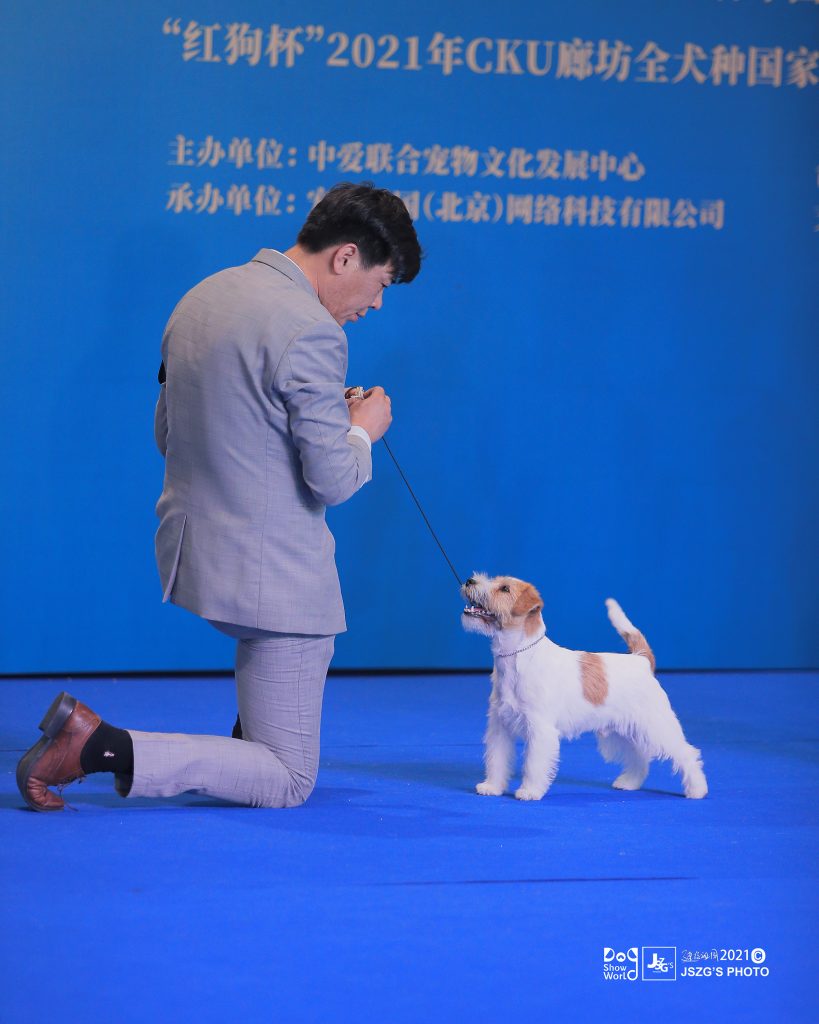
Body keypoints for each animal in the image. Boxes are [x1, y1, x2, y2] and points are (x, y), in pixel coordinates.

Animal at [461, 573, 708, 801]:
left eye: (504, 588)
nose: (470, 580)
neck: (518, 655)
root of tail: (641, 660)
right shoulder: (500, 726)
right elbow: (497, 759)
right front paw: (492, 786)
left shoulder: (540, 729)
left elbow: (533, 763)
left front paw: (529, 791)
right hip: (619, 732)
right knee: (639, 756)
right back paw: (630, 782)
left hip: (657, 726)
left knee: (686, 753)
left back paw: (697, 789)